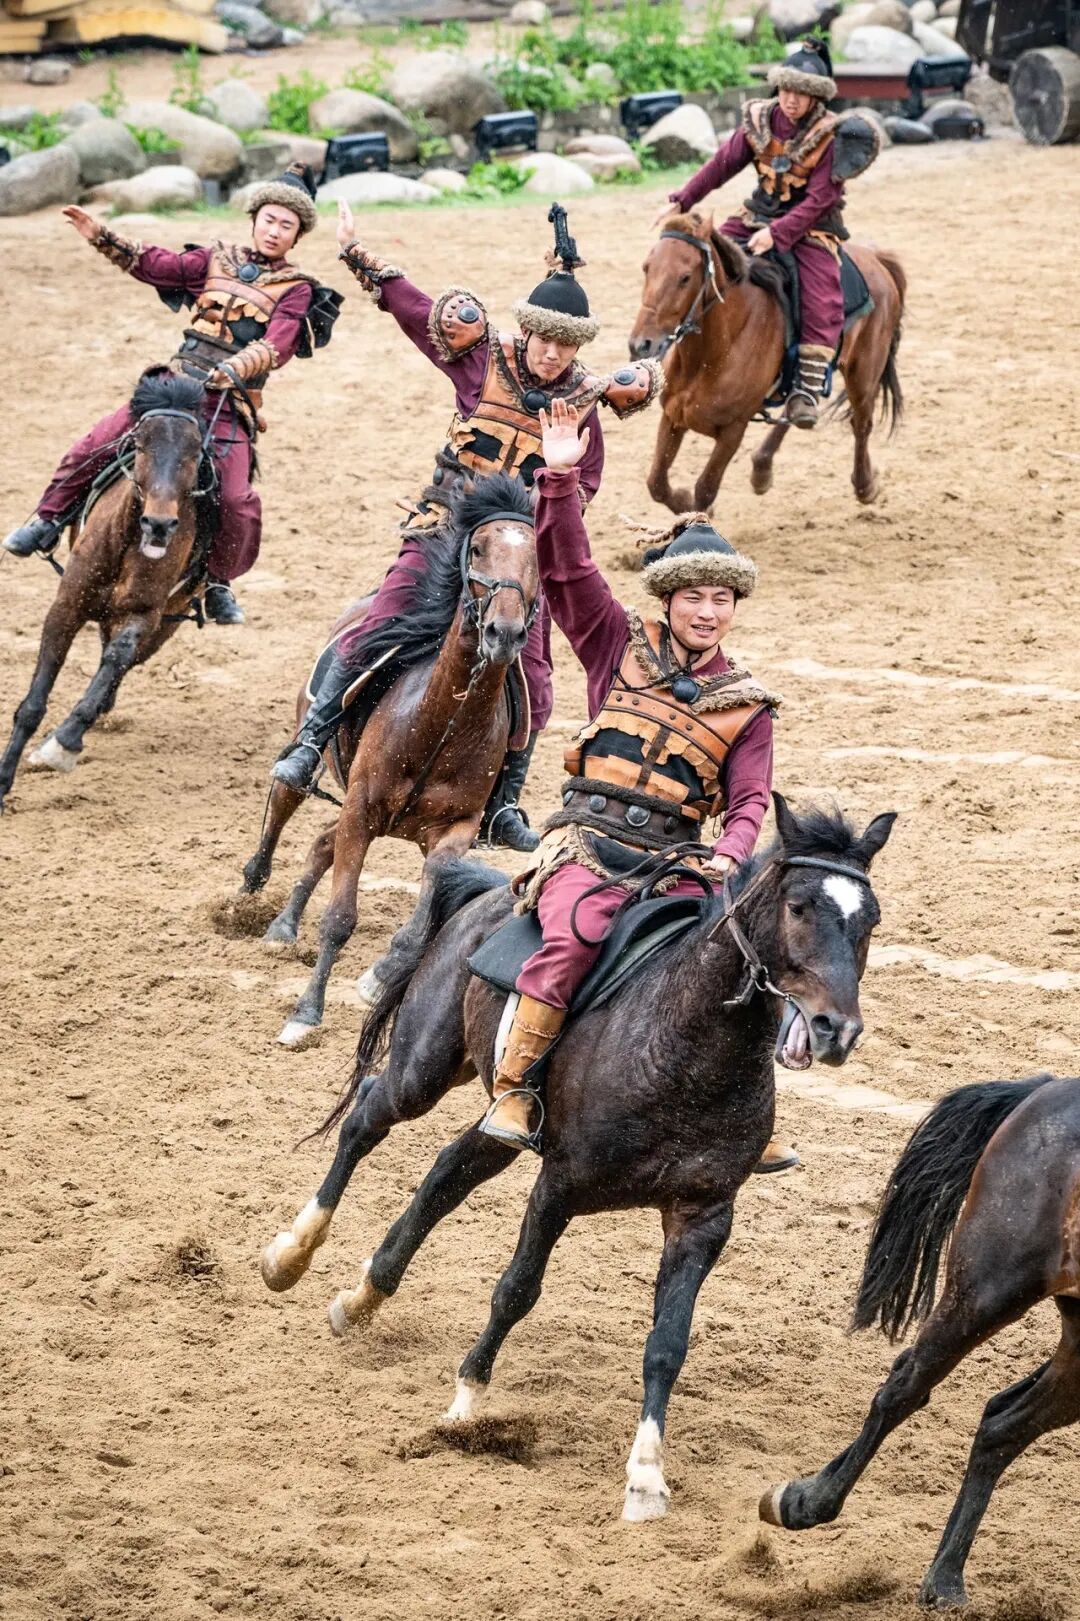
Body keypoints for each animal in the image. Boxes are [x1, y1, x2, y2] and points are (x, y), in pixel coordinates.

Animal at [0, 372, 215, 810]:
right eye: (141, 444)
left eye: (193, 452)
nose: (160, 524)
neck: (126, 543)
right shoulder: (66, 607)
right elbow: (32, 704)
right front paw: (2, 780)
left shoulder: (143, 616)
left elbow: (116, 659)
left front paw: (62, 744)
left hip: (166, 623)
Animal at [239, 472, 539, 1050]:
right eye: (479, 549)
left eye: (535, 558)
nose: (505, 633)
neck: (440, 725)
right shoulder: (361, 809)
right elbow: (339, 917)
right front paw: (305, 1013)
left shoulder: (455, 826)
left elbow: (434, 892)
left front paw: (383, 972)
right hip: (313, 745)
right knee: (287, 795)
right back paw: (249, 892)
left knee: (321, 840)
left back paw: (284, 924)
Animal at [260, 795, 896, 1518]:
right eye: (798, 906)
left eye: (869, 919)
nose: (835, 1029)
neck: (683, 1044)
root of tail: (484, 894)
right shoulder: (558, 1186)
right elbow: (516, 1290)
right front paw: (467, 1400)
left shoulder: (703, 1216)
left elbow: (668, 1343)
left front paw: (646, 1473)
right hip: (423, 1067)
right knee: (366, 1120)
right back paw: (290, 1254)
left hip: (497, 1123)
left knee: (446, 1172)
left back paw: (365, 1294)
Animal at [628, 210, 905, 514]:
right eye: (646, 268)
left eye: (685, 277)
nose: (640, 344)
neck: (709, 357)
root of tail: (876, 258)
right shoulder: (672, 416)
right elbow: (657, 484)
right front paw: (684, 501)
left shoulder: (732, 431)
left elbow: (705, 489)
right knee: (796, 407)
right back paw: (762, 467)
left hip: (863, 373)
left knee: (861, 424)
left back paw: (865, 486)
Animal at [761, 1072, 1080, 1609]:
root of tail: (1047, 1088)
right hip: (988, 1290)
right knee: (907, 1389)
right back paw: (814, 1505)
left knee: (1002, 1424)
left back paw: (940, 1576)